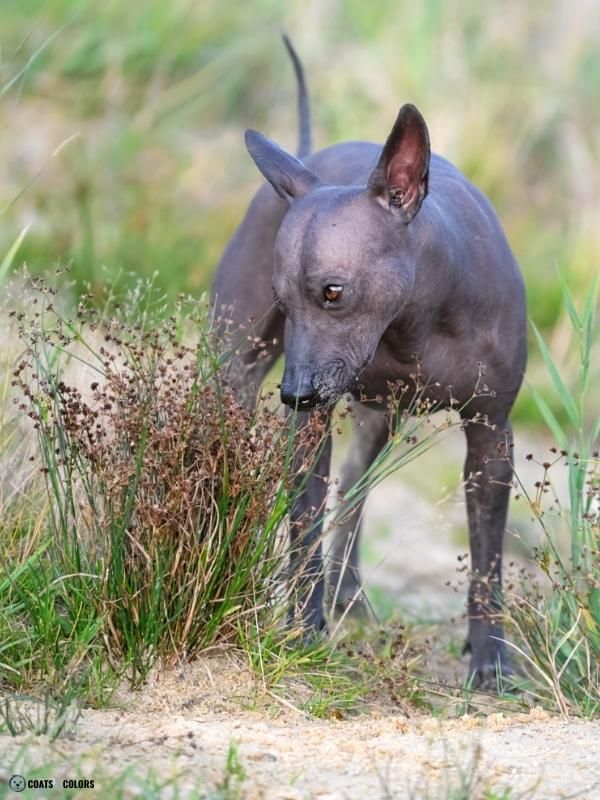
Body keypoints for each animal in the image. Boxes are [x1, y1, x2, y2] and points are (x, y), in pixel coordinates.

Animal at [211, 39, 524, 688]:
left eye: (332, 291)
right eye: (283, 299)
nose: (294, 393)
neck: (415, 324)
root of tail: (306, 156)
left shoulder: (492, 436)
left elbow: (487, 561)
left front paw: (491, 662)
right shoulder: (308, 426)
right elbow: (303, 528)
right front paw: (304, 632)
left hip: (380, 419)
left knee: (356, 486)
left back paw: (348, 595)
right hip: (237, 374)